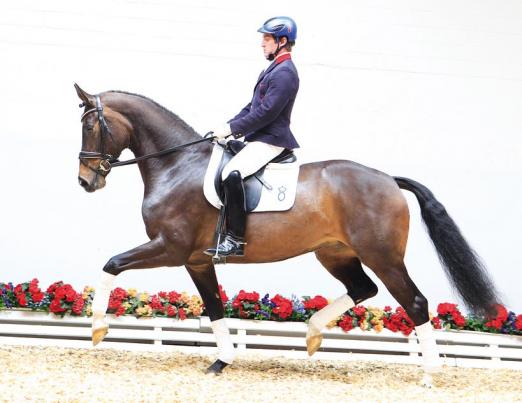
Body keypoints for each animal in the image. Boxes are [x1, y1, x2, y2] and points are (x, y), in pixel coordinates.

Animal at [75, 84, 498, 386]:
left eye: (90, 126)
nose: (85, 182)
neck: (177, 165)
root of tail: (389, 180)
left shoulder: (169, 249)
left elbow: (111, 264)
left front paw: (97, 329)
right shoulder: (196, 261)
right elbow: (215, 307)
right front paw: (222, 360)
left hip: (383, 256)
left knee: (414, 302)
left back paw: (429, 373)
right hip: (334, 253)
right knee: (363, 288)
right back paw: (312, 334)